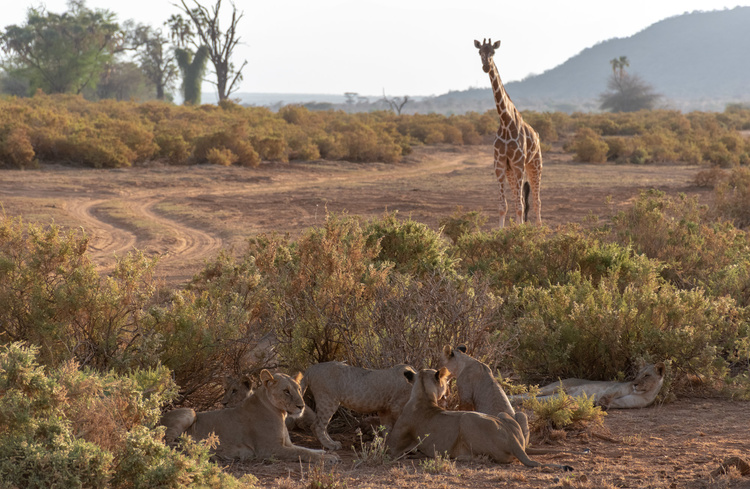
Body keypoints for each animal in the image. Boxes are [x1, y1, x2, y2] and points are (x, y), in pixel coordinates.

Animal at [160, 370, 340, 462]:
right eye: (286, 391)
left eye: (299, 389)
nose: (301, 406)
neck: (280, 413)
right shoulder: (269, 450)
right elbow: (303, 454)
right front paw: (329, 458)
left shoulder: (287, 444)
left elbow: (307, 449)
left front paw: (327, 452)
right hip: (190, 412)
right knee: (168, 441)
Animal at [388, 366, 576, 468]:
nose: (448, 390)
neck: (424, 396)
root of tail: (513, 441)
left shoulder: (393, 447)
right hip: (502, 416)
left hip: (467, 419)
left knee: (483, 457)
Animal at [478, 38, 544, 227]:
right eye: (480, 52)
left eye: (493, 52)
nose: (486, 66)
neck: (505, 121)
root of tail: (537, 136)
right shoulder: (500, 164)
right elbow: (504, 205)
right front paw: (502, 230)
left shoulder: (518, 163)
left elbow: (521, 205)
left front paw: (520, 231)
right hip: (512, 171)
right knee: (518, 198)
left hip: (535, 164)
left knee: (536, 200)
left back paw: (539, 228)